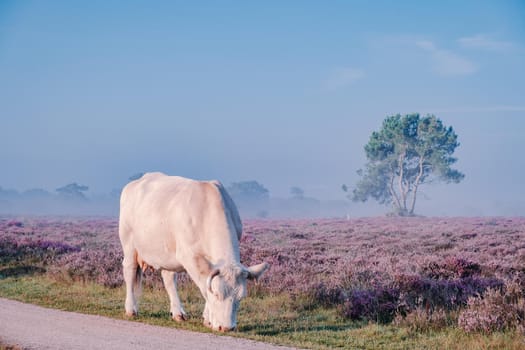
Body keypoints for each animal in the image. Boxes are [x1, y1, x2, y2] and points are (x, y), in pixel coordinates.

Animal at [117, 174, 266, 332]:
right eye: (217, 294)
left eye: (241, 297)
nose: (226, 328)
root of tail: (137, 181)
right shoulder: (189, 257)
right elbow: (204, 287)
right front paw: (208, 319)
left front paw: (207, 318)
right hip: (129, 245)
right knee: (130, 271)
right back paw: (131, 309)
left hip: (168, 253)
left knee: (169, 278)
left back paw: (178, 313)